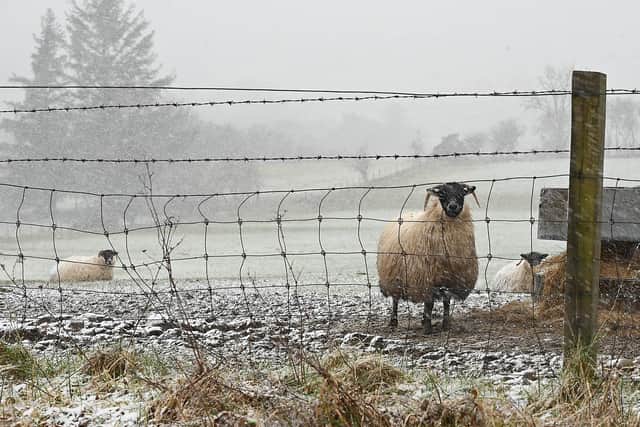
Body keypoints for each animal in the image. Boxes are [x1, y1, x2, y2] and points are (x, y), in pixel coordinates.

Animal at [377, 182, 479, 334]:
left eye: (462, 193)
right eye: (442, 193)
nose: (453, 206)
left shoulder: (450, 279)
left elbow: (446, 303)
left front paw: (445, 325)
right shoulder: (427, 278)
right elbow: (429, 304)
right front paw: (428, 329)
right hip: (394, 277)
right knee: (395, 299)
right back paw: (393, 322)